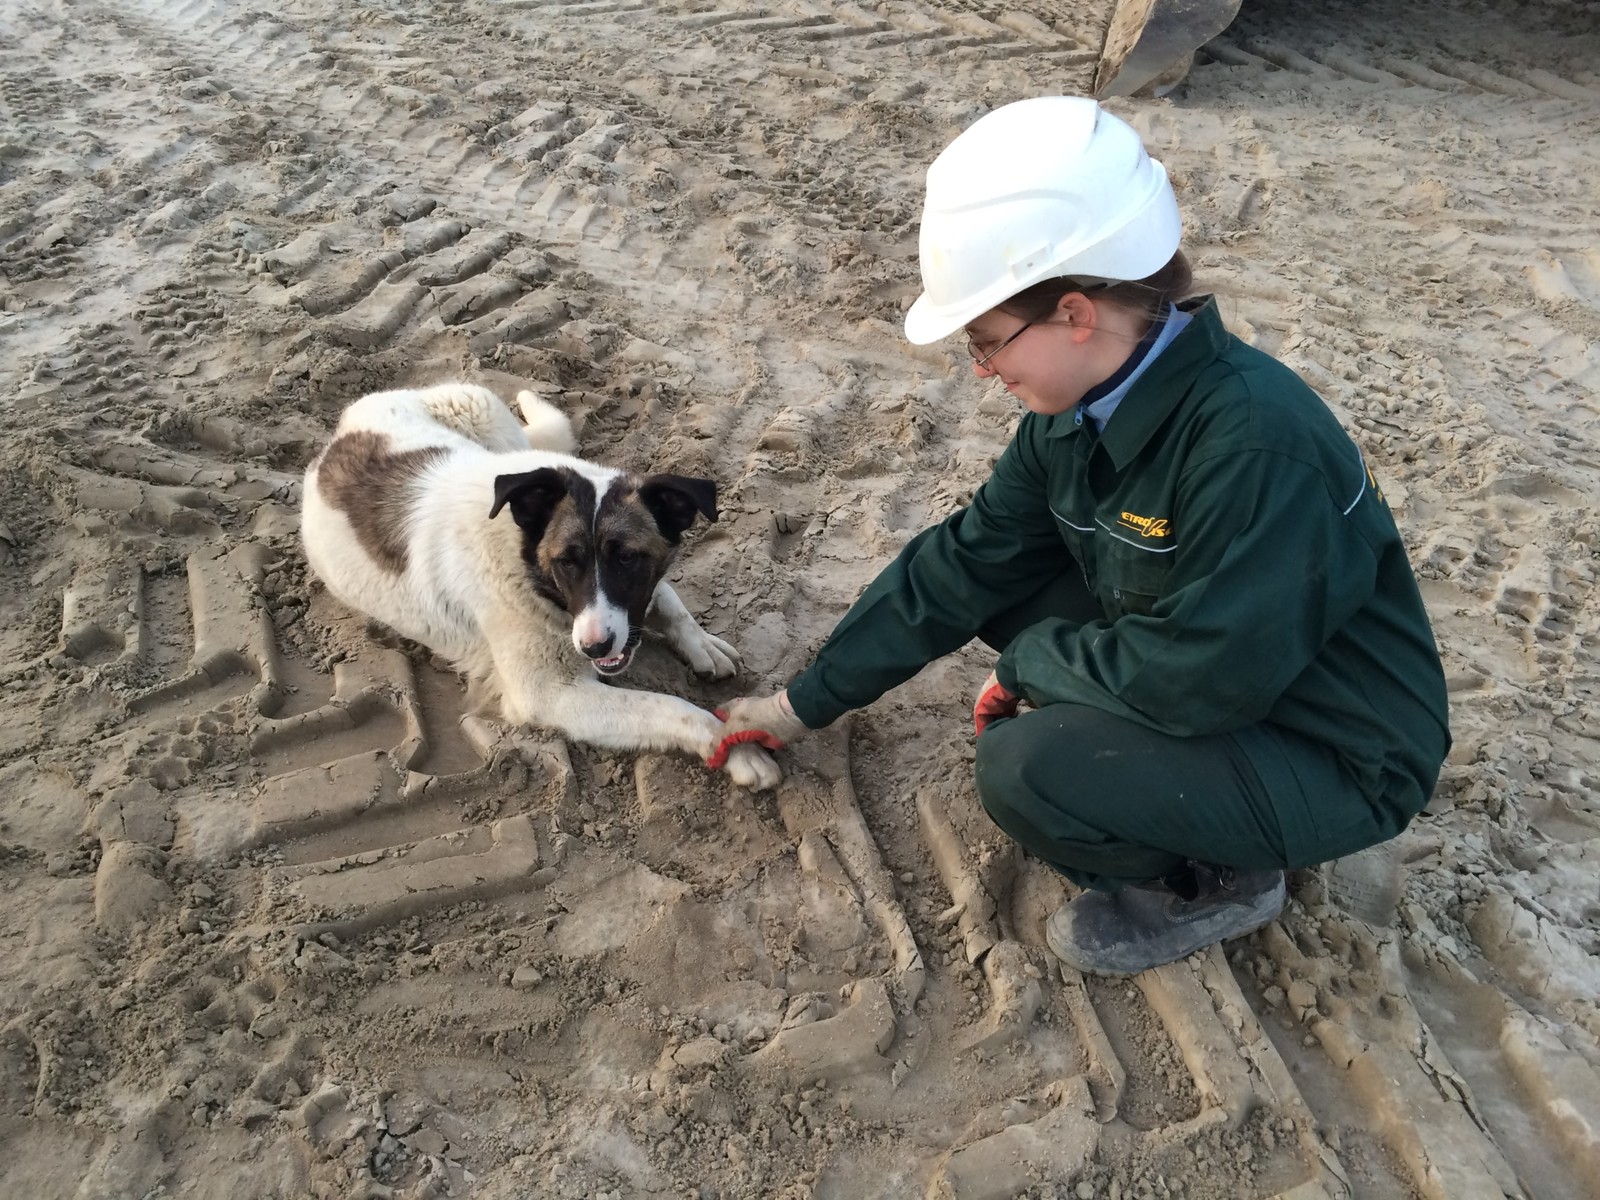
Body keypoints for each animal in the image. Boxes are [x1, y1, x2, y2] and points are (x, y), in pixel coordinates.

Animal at [300, 380, 780, 793]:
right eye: (566, 562)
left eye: (627, 558)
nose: (593, 648)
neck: (524, 554)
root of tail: (340, 432)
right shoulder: (549, 696)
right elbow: (670, 707)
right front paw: (735, 745)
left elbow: (667, 598)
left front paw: (701, 643)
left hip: (492, 422)